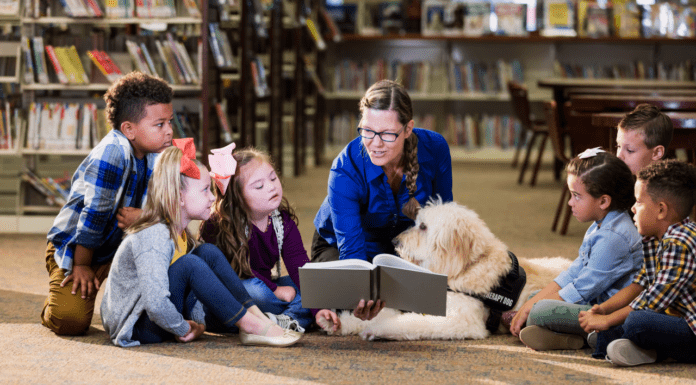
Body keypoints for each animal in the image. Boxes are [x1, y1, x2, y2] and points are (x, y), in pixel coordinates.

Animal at [316, 201, 572, 340]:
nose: (396, 241)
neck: (467, 268)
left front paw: (377, 329)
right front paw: (337, 323)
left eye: (423, 226)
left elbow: (410, 323)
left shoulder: (461, 320)